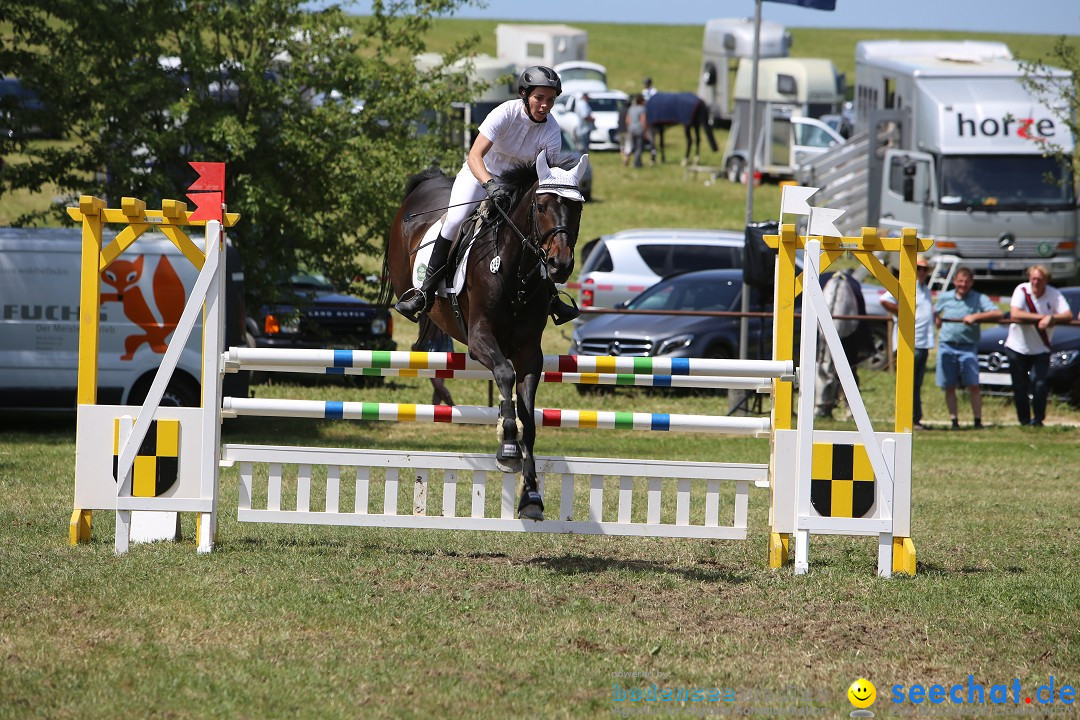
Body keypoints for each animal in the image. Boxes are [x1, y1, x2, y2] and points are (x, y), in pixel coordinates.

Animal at [382, 152, 587, 520]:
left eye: (576, 207)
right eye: (541, 206)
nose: (560, 265)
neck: (516, 270)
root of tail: (429, 181)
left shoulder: (529, 353)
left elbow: (529, 417)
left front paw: (530, 495)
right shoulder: (480, 340)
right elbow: (504, 374)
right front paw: (507, 445)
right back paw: (416, 302)